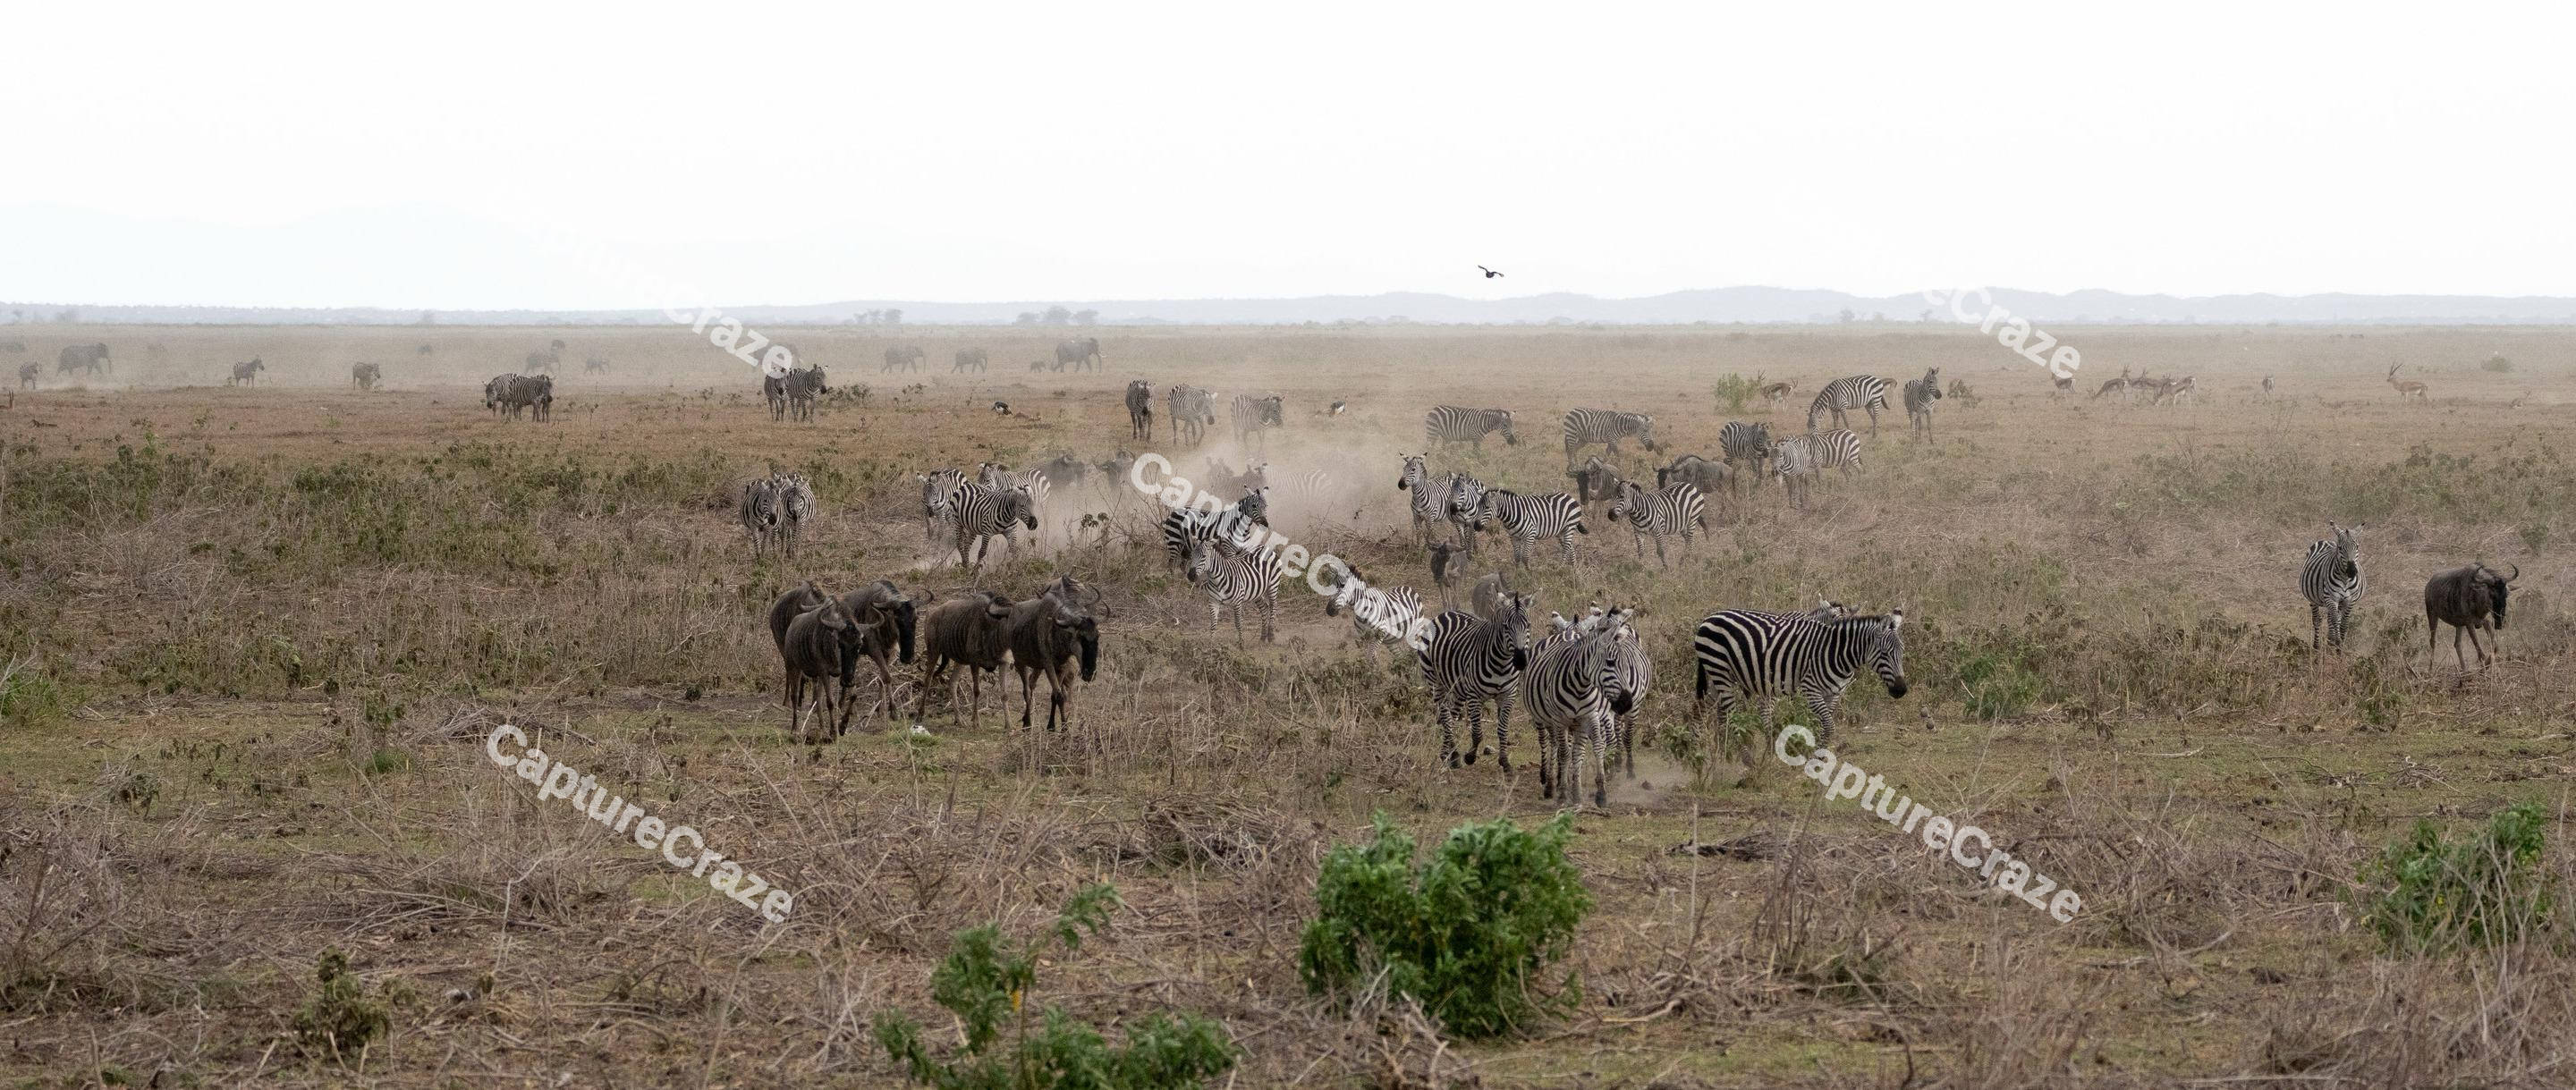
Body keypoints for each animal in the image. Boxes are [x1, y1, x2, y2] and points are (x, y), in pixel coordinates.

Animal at [1416, 592, 1533, 770]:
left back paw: (1450, 755)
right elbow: (1477, 732)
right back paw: (1452, 755)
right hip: (1435, 681)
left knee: (1452, 716)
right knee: (1445, 716)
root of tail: (1446, 613)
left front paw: (1505, 761)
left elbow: (1503, 730)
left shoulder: (1508, 696)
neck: (1502, 663)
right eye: (1506, 627)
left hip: (1458, 689)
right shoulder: (1474, 696)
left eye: (1528, 626)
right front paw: (1470, 757)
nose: (1520, 661)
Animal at [1522, 613, 1641, 806]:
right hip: (1544, 719)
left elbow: (1590, 750)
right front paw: (1563, 793)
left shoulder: (1589, 716)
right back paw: (1550, 784)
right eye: (1610, 662)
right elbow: (1564, 753)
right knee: (1552, 744)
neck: (1580, 685)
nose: (1627, 703)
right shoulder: (1559, 720)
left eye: (1626, 665)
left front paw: (1594, 793)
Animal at [1693, 608, 1909, 756]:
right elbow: (1829, 725)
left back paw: (1716, 750)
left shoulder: (1834, 693)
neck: (1836, 653)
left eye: (1902, 652)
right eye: (1884, 653)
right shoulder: (1810, 689)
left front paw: (1820, 758)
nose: (1901, 690)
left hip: (1718, 675)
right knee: (1729, 713)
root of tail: (1710, 617)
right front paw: (1816, 759)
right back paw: (1744, 757)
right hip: (1718, 668)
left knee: (1707, 708)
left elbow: (1825, 726)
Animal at [2300, 521, 2365, 653]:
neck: (2345, 579)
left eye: (2357, 547)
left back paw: (2330, 641)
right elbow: (2335, 621)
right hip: (2314, 599)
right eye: (2340, 548)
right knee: (2317, 621)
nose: (2352, 571)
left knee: (2330, 619)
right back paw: (2317, 647)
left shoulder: (2350, 601)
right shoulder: (2331, 598)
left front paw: (2340, 647)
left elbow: (2343, 624)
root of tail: (2325, 540)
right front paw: (2337, 643)